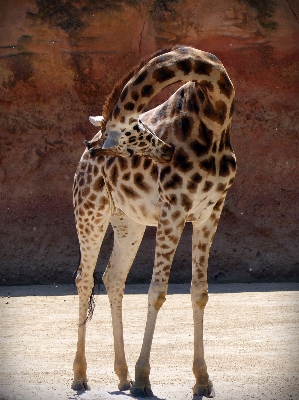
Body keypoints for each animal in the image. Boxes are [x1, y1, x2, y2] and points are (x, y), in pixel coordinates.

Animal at [72, 46, 237, 396]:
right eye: (131, 145)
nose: (167, 151)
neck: (217, 114)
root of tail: (82, 160)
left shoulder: (210, 211)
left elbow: (200, 292)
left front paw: (202, 380)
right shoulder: (173, 209)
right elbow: (158, 291)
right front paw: (144, 379)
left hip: (128, 223)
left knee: (113, 277)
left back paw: (122, 375)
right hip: (90, 212)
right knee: (84, 278)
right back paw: (80, 375)